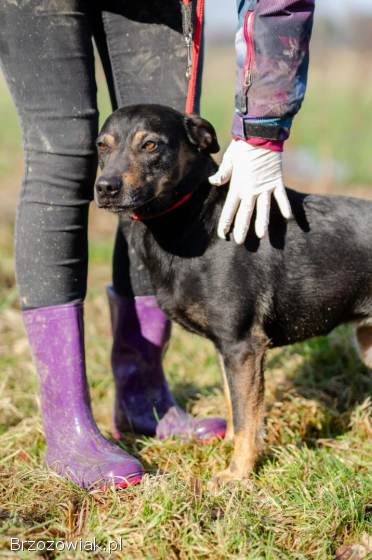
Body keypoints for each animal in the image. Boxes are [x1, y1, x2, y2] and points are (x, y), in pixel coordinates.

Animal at [93, 105, 372, 486]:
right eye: (101, 146)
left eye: (150, 145)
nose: (105, 187)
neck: (197, 219)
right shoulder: (226, 348)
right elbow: (234, 406)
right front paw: (233, 453)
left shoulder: (243, 346)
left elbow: (244, 419)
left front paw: (236, 475)